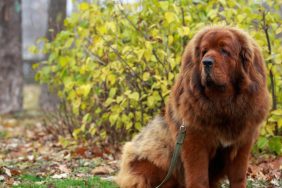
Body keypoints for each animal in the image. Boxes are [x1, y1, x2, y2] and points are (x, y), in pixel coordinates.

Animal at [115, 26, 270, 188]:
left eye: (224, 50)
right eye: (204, 51)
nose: (206, 62)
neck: (222, 104)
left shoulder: (241, 144)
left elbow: (238, 178)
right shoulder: (195, 143)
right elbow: (199, 178)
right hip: (157, 160)